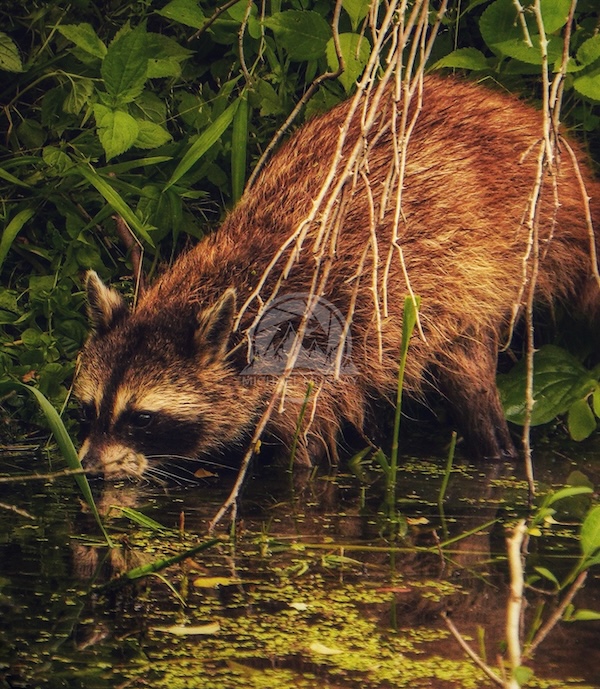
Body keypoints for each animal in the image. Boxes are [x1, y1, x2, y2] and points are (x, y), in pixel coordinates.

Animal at [76, 75, 600, 479]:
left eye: (142, 419)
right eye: (87, 410)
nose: (89, 469)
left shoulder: (311, 362)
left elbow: (307, 453)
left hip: (490, 262)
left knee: (467, 366)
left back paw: (494, 443)